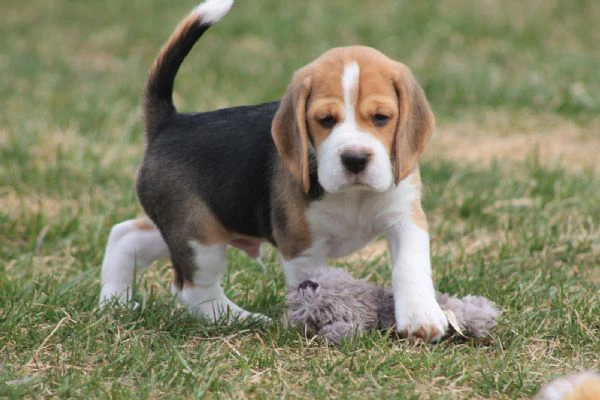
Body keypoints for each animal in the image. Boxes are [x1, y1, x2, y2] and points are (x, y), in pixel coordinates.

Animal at [98, 0, 448, 340]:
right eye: (325, 120)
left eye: (381, 118)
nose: (355, 159)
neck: (353, 196)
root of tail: (169, 123)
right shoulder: (301, 244)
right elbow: (313, 281)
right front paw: (318, 317)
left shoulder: (405, 218)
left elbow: (410, 266)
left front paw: (421, 316)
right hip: (199, 236)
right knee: (194, 290)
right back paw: (242, 319)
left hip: (195, 225)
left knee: (126, 235)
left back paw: (113, 303)